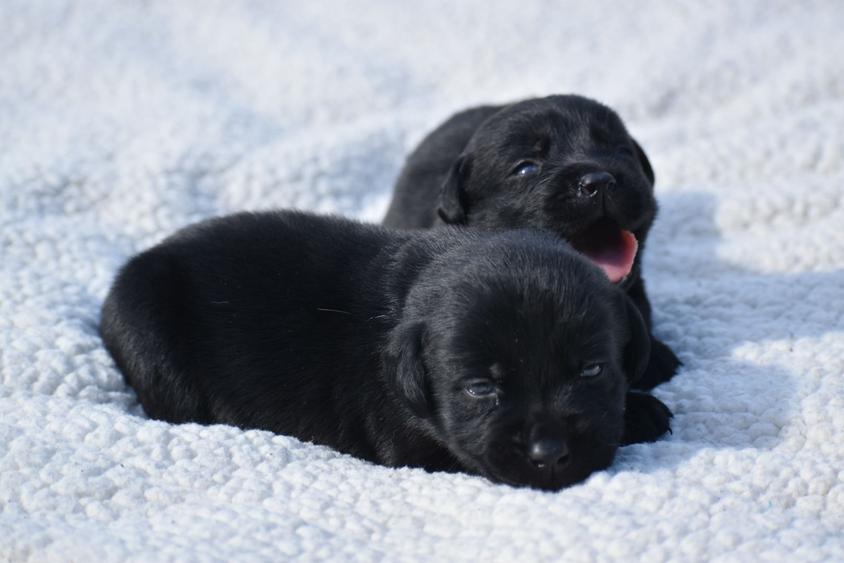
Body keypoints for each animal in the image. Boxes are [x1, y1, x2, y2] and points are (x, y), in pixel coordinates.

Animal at [102, 210, 668, 490]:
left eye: (592, 371)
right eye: (480, 388)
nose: (548, 455)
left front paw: (641, 407)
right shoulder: (415, 447)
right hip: (145, 330)